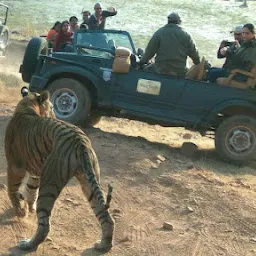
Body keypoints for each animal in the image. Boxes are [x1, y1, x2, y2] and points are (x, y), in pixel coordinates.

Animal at [4, 88, 114, 252]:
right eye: (52, 107)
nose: (55, 115)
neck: (27, 105)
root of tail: (80, 141)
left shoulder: (15, 166)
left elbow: (12, 190)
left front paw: (21, 212)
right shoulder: (35, 172)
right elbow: (30, 190)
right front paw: (28, 208)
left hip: (50, 181)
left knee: (45, 225)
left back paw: (28, 244)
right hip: (88, 181)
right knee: (106, 216)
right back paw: (103, 246)